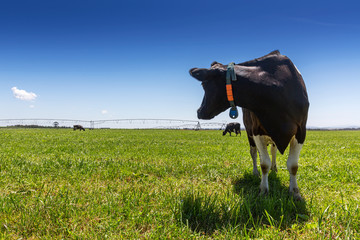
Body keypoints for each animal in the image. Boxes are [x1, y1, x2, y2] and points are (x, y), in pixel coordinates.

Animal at [191, 50, 310, 201]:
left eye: (203, 85)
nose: (199, 111)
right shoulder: (256, 131)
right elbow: (264, 163)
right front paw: (263, 190)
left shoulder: (301, 131)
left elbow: (293, 166)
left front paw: (295, 193)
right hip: (249, 134)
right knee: (254, 153)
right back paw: (256, 172)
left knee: (273, 151)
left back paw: (275, 168)